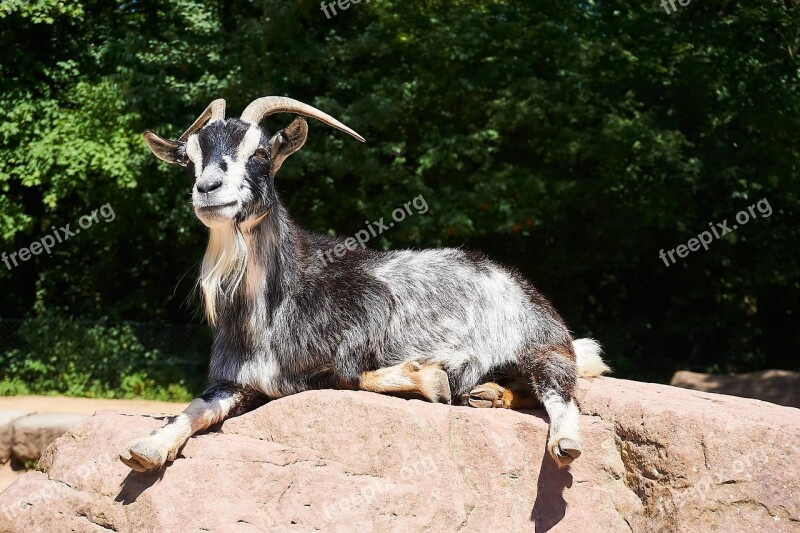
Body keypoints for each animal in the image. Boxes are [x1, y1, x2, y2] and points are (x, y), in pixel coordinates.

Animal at [119, 97, 608, 472]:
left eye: (258, 152)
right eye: (190, 159)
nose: (208, 188)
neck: (275, 303)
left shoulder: (366, 313)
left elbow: (348, 375)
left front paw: (430, 377)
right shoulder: (238, 380)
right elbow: (197, 407)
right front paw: (148, 447)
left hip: (540, 341)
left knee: (560, 388)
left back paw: (563, 441)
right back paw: (489, 393)